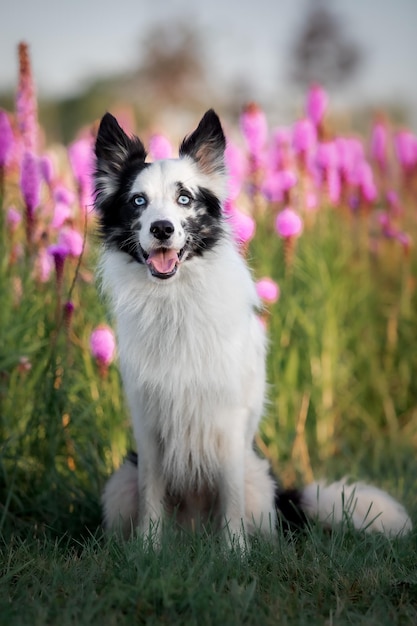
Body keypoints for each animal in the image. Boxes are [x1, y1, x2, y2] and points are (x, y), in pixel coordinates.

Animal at [93, 109, 410, 544]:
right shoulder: (148, 423)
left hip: (258, 481)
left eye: (184, 199)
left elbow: (230, 497)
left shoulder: (228, 420)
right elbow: (151, 494)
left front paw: (234, 551)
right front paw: (148, 551)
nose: (161, 229)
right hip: (120, 482)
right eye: (137, 201)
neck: (176, 301)